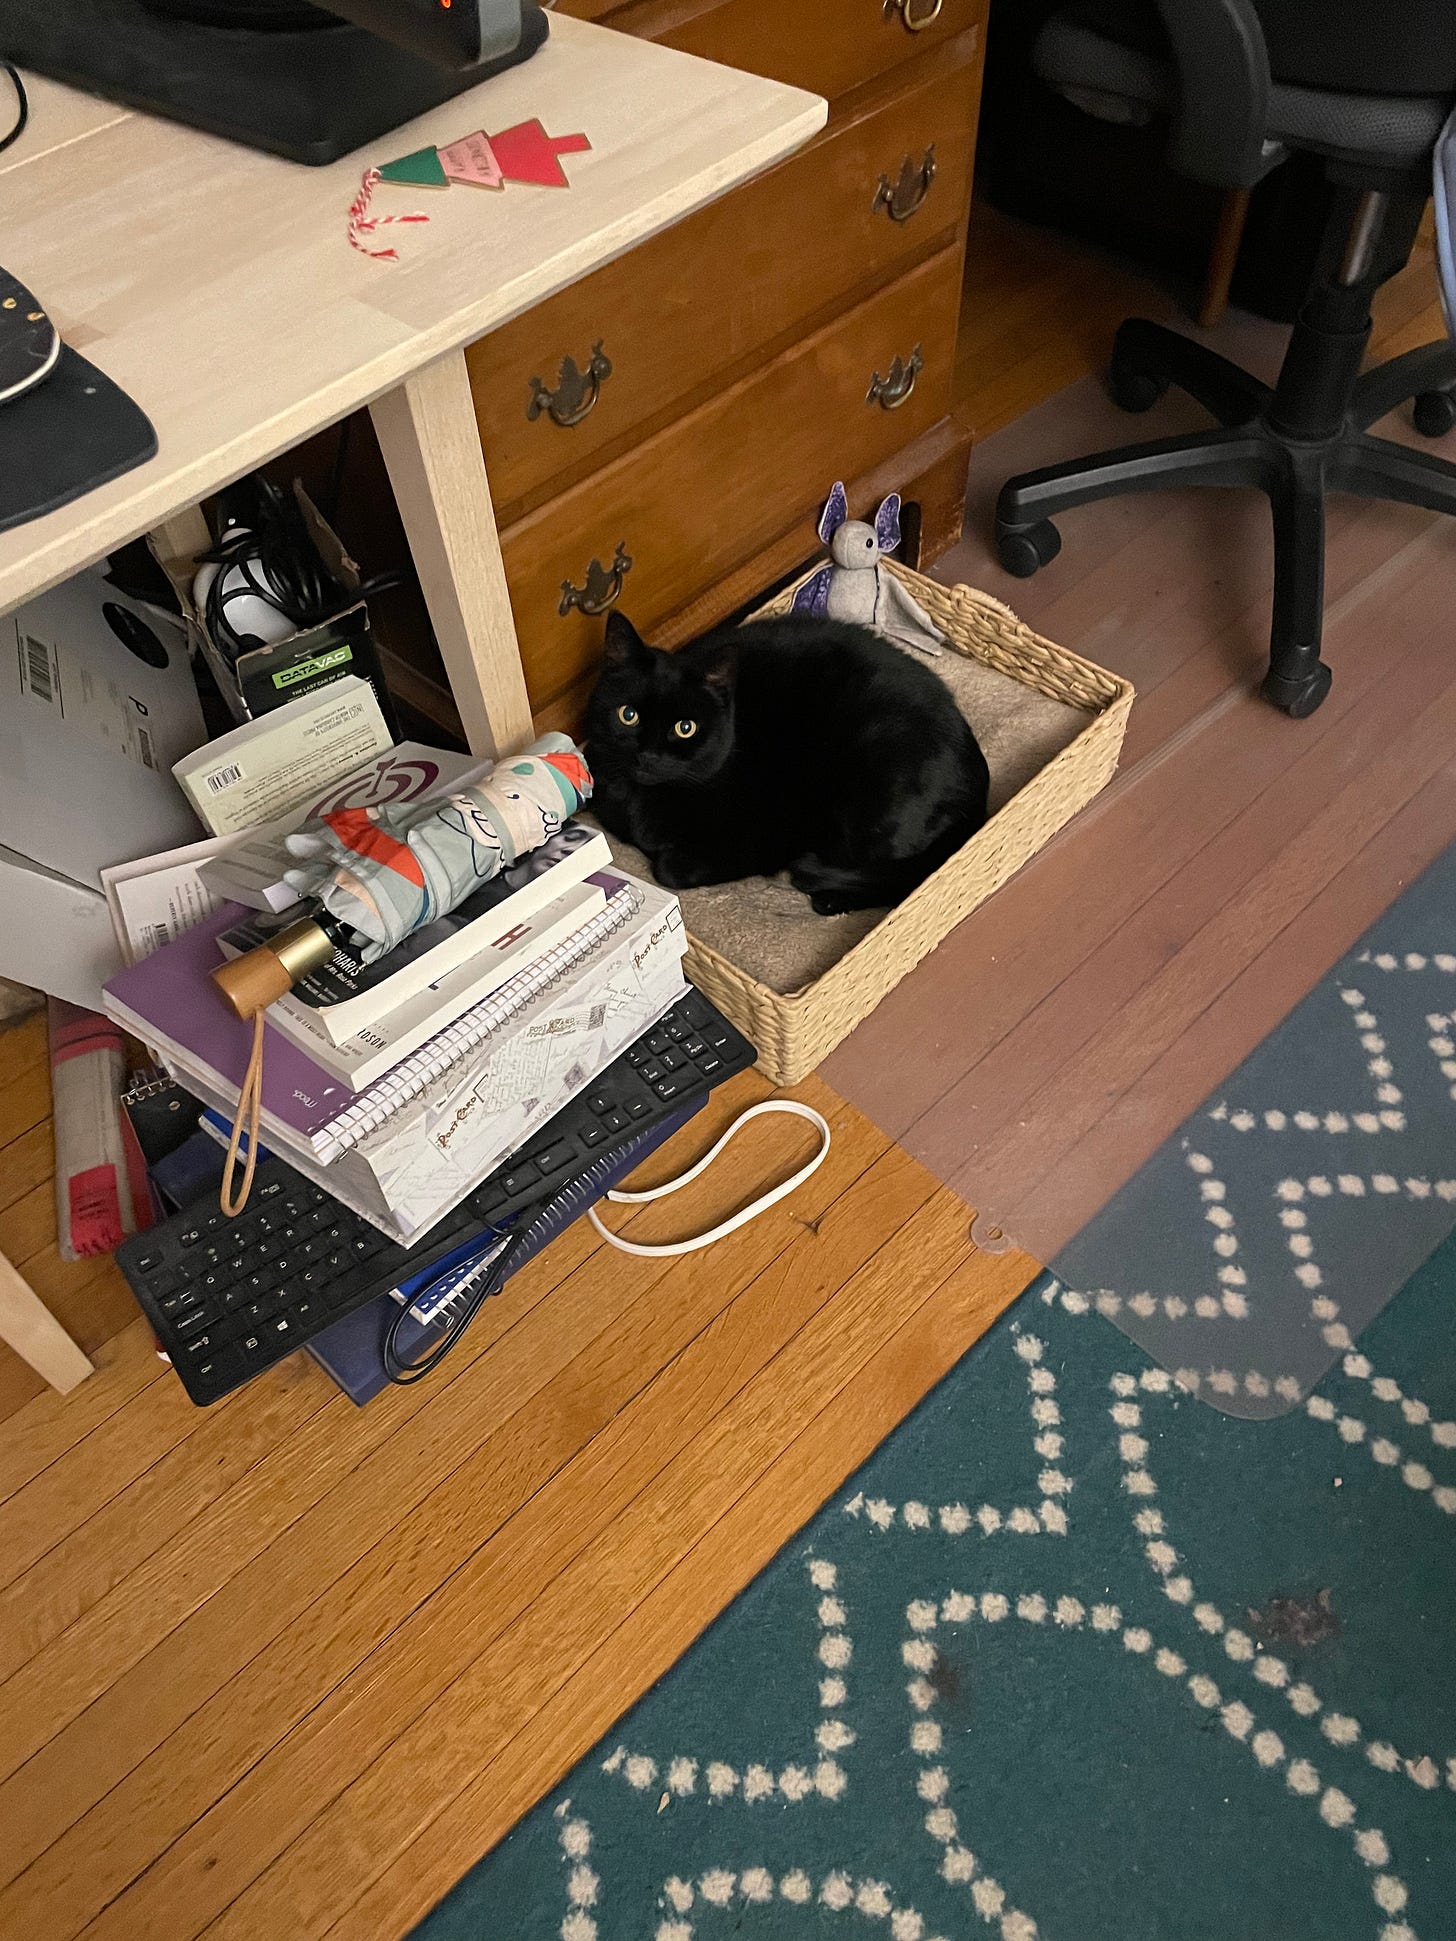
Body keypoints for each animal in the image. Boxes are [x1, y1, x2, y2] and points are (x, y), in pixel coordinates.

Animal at [582, 609, 993, 912]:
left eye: (686, 728)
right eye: (628, 715)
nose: (648, 756)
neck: (644, 803)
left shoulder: (765, 835)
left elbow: (668, 868)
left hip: (871, 798)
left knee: (899, 876)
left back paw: (826, 896)